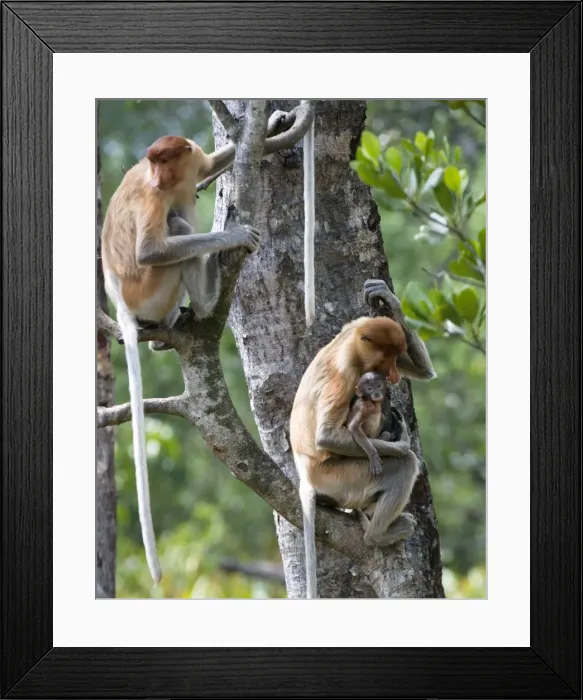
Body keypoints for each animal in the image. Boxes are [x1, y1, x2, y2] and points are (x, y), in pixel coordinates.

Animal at [101, 135, 261, 585]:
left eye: (164, 160)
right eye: (154, 167)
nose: (158, 177)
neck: (170, 181)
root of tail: (122, 305)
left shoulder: (192, 165)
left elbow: (211, 163)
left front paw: (283, 125)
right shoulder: (152, 197)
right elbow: (151, 250)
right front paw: (233, 235)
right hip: (151, 290)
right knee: (176, 227)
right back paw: (205, 301)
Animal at [290, 278, 437, 598]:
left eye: (397, 356)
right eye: (386, 358)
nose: (394, 375)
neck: (350, 345)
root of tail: (306, 476)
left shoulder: (353, 324)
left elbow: (424, 371)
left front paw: (386, 297)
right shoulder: (345, 373)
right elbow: (326, 437)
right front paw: (401, 442)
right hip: (341, 477)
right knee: (403, 465)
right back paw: (377, 535)